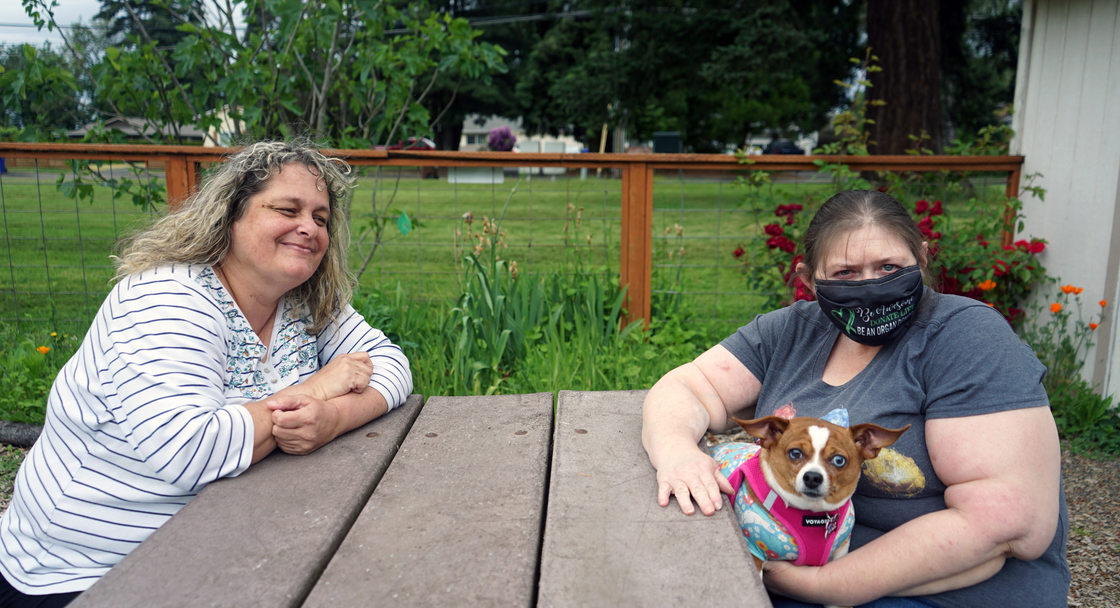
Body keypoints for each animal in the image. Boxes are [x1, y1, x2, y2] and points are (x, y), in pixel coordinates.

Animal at [712, 414, 904, 586]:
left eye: (839, 460)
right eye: (795, 453)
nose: (812, 476)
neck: (811, 513)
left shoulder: (840, 551)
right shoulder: (754, 551)